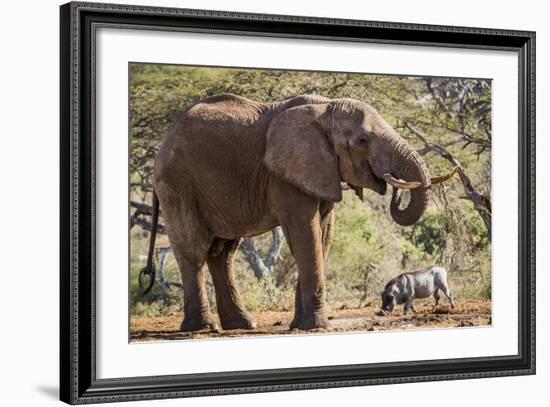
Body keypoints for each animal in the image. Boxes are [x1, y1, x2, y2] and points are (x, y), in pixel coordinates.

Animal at [139, 94, 458, 334]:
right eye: (362, 140)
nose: (391, 184)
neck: (325, 108)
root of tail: (162, 144)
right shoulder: (283, 174)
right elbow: (305, 231)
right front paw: (316, 327)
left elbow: (323, 234)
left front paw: (299, 326)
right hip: (178, 184)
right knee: (194, 250)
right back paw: (203, 328)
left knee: (223, 253)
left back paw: (242, 324)